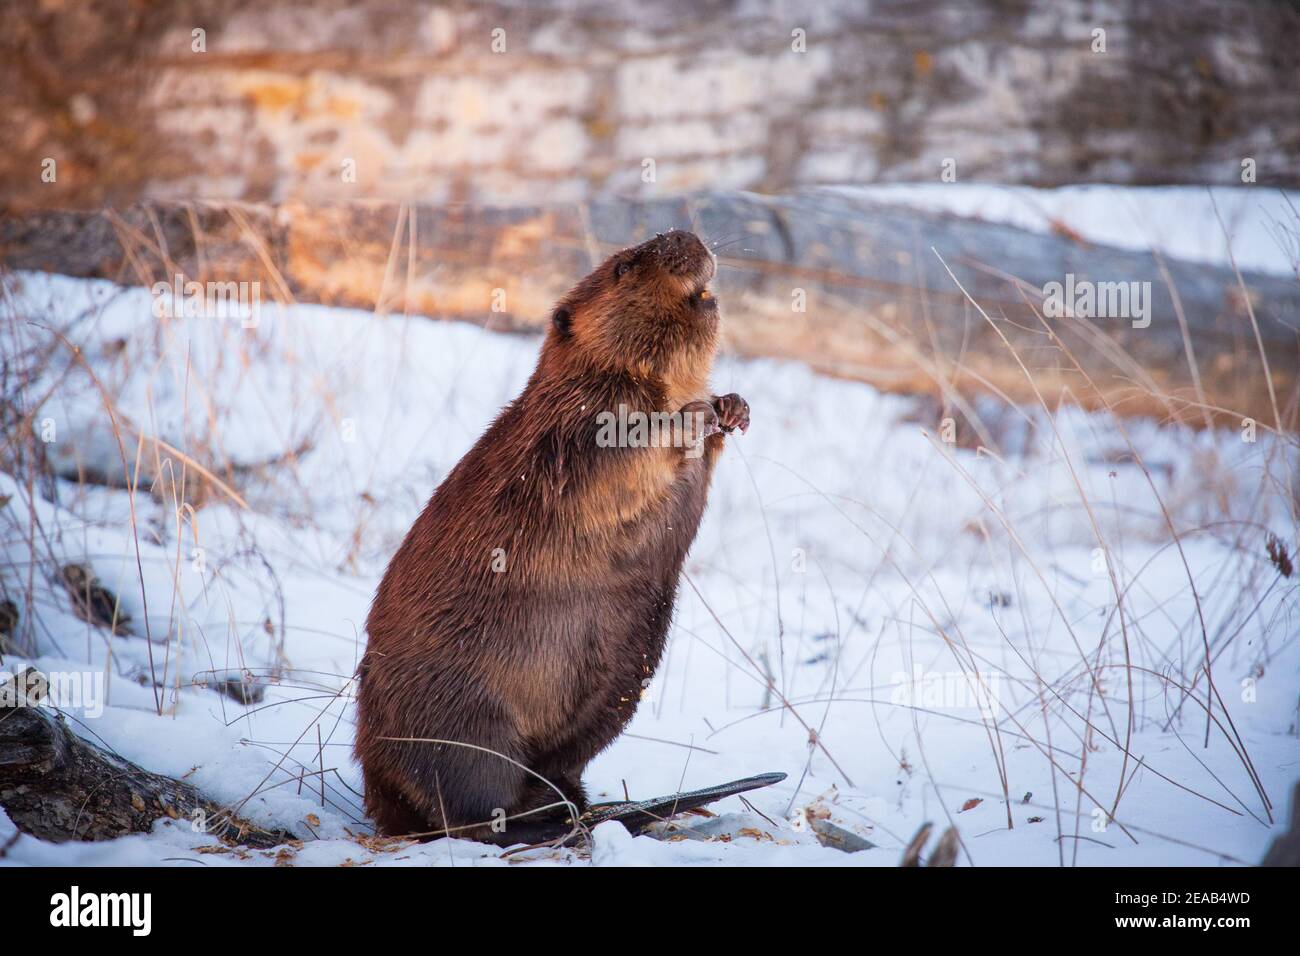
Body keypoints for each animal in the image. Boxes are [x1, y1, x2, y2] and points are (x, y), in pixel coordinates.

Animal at [353, 231, 754, 842]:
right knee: (470, 806)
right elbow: (622, 450)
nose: (688, 237)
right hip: (466, 716)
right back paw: (548, 823)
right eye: (625, 265)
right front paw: (693, 414)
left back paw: (575, 804)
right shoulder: (573, 426)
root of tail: (380, 796)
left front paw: (731, 406)